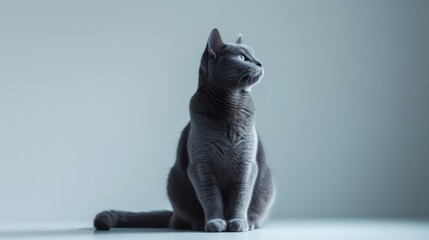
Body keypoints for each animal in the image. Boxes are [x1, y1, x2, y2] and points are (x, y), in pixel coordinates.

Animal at [93, 28, 274, 232]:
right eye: (242, 57)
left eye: (253, 54)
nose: (260, 62)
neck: (230, 108)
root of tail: (173, 216)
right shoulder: (200, 165)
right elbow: (211, 198)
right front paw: (215, 222)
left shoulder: (247, 164)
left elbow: (241, 196)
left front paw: (238, 223)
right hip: (174, 181)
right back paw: (197, 224)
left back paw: (250, 222)